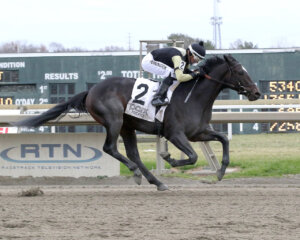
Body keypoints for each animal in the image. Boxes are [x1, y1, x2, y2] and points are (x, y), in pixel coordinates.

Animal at [12, 54, 260, 191]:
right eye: (240, 72)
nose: (256, 93)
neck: (193, 97)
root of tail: (91, 90)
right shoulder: (175, 134)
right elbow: (192, 156)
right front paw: (168, 157)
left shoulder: (198, 132)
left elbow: (223, 139)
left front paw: (221, 171)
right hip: (114, 120)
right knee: (110, 148)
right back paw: (137, 172)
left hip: (127, 126)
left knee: (133, 154)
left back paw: (156, 182)